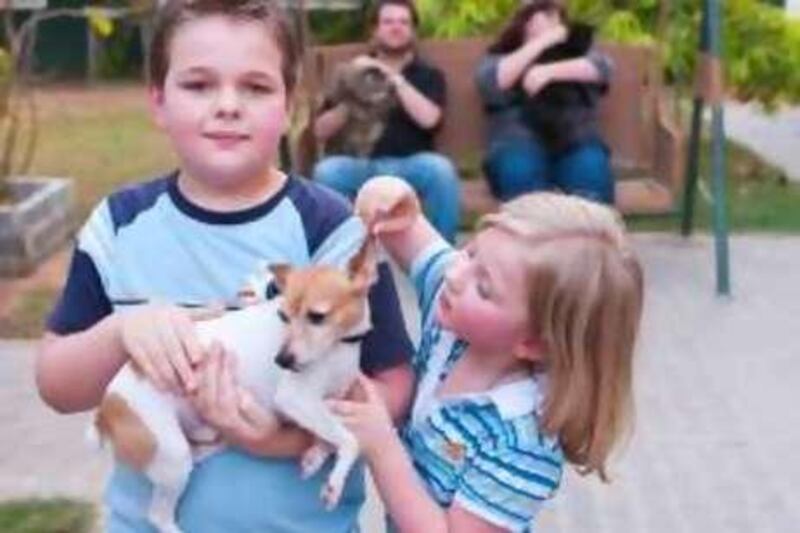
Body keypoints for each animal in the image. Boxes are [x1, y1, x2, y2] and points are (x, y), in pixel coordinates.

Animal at [92, 240, 380, 532]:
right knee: (157, 516)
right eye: (283, 316)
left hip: (193, 448)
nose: (281, 360)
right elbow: (351, 440)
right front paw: (335, 480)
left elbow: (334, 434)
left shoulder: (327, 402)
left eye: (317, 317)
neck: (339, 347)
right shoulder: (295, 399)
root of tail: (104, 410)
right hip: (172, 456)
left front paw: (316, 455)